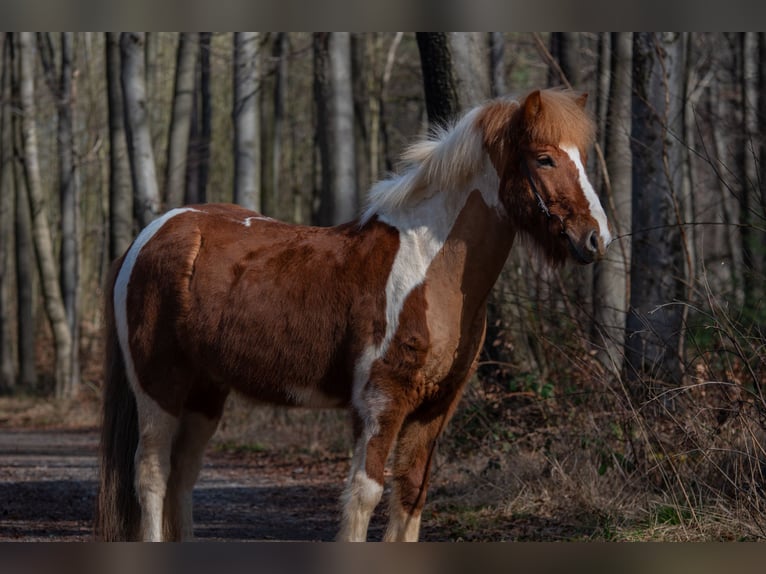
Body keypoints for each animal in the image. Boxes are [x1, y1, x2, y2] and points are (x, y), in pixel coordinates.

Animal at [95, 88, 612, 542]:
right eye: (544, 159)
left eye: (582, 159)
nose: (595, 238)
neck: (429, 268)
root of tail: (151, 235)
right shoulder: (381, 403)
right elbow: (364, 496)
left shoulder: (435, 410)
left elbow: (411, 495)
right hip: (159, 388)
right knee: (152, 475)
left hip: (205, 393)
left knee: (183, 476)